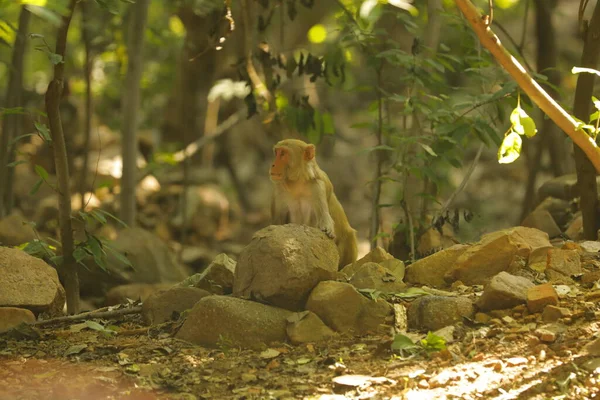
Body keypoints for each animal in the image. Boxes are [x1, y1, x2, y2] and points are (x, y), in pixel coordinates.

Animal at [270, 140, 356, 268]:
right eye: (276, 152)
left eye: (283, 154)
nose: (273, 165)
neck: (297, 183)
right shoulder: (278, 190)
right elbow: (277, 223)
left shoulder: (318, 187)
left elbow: (325, 219)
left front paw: (327, 230)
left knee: (349, 235)